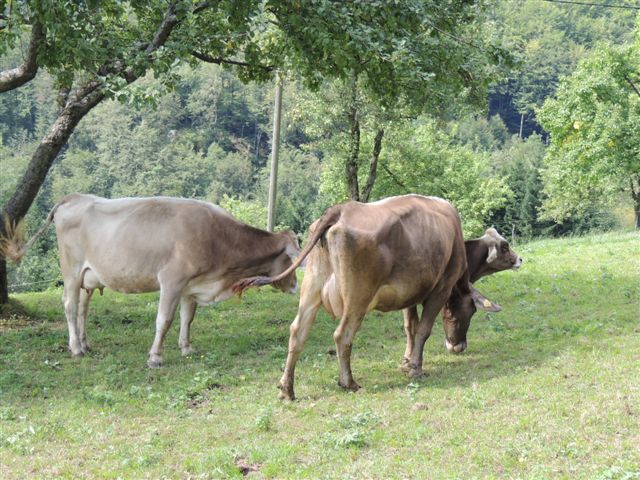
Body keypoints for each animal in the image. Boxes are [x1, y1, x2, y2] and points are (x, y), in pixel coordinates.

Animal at [3, 193, 300, 366]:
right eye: (291, 260)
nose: (296, 285)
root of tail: (73, 197)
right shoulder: (171, 280)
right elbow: (164, 320)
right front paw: (155, 356)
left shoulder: (191, 285)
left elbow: (187, 318)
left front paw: (186, 348)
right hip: (72, 271)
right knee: (69, 306)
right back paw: (76, 348)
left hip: (89, 276)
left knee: (83, 310)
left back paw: (86, 344)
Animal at [234, 193, 500, 400]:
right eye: (471, 311)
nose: (458, 346)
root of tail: (341, 209)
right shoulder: (440, 288)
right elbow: (423, 329)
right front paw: (415, 367)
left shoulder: (411, 292)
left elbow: (410, 326)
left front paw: (406, 360)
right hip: (357, 297)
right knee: (342, 335)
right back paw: (349, 382)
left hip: (311, 288)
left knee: (297, 331)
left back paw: (287, 389)